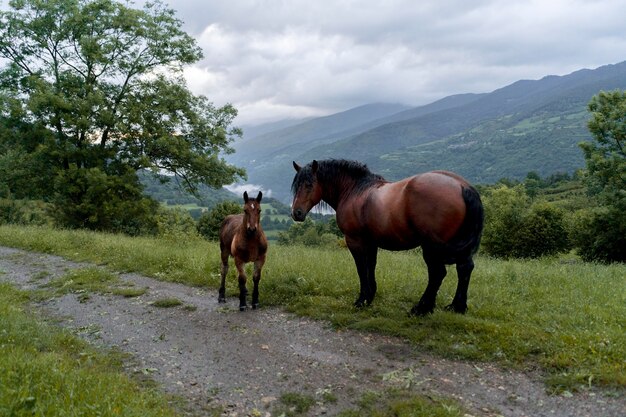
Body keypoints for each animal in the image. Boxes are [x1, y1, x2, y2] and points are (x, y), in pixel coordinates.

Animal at [288, 158, 482, 314]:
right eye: (296, 186)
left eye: (309, 184)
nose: (296, 213)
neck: (355, 190)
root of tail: (462, 186)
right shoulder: (371, 242)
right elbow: (371, 267)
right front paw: (370, 297)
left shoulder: (355, 241)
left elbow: (361, 268)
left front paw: (361, 300)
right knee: (464, 269)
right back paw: (457, 307)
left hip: (431, 248)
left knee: (437, 274)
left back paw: (421, 308)